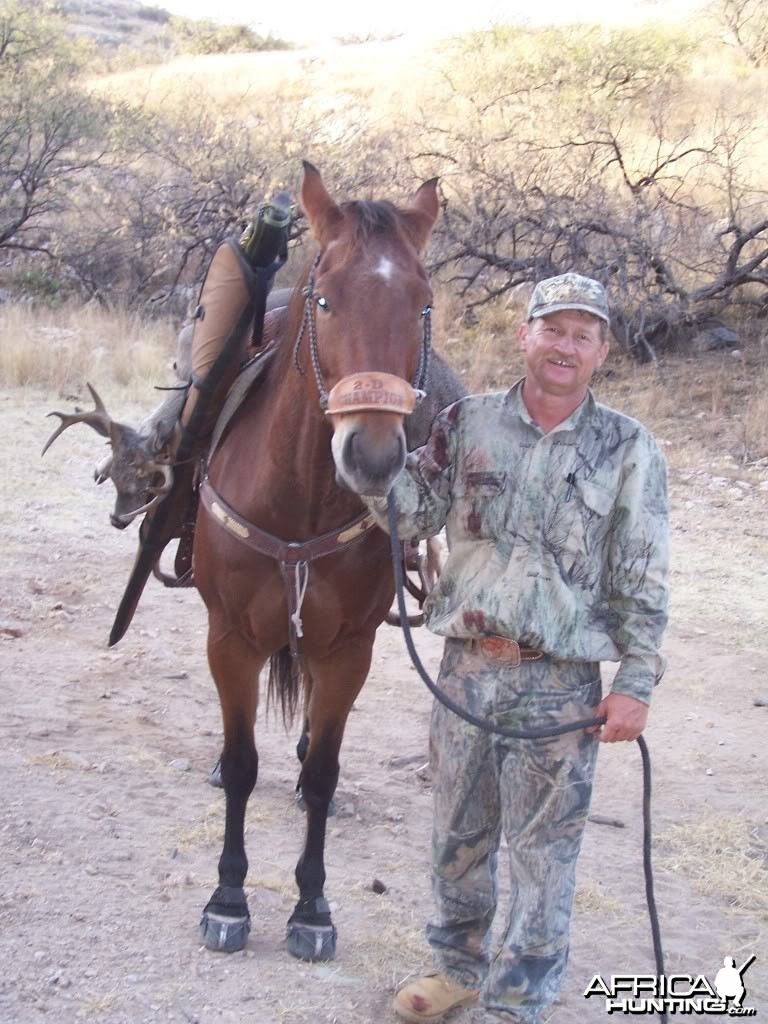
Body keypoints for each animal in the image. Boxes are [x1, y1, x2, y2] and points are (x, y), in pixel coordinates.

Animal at [195, 161, 442, 958]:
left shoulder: (348, 650)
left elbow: (326, 772)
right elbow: (245, 762)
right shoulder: (230, 640)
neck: (297, 498)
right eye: (326, 299)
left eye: (422, 305)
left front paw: (311, 907)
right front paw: (229, 898)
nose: (373, 457)